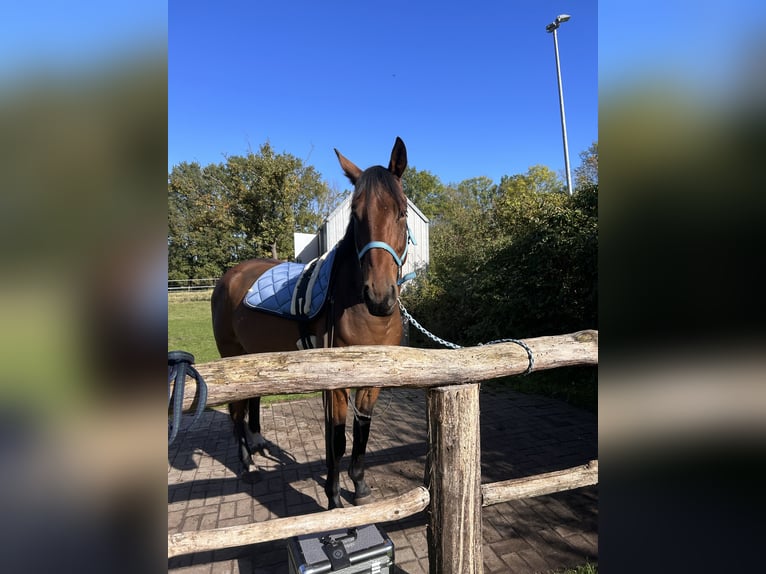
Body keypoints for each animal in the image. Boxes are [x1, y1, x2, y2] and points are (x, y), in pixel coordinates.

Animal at [210, 137, 414, 510]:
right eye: (356, 215)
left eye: (402, 212)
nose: (379, 295)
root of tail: (230, 275)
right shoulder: (335, 385)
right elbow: (336, 440)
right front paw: (333, 499)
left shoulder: (373, 382)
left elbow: (362, 433)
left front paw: (359, 486)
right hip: (231, 357)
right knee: (235, 411)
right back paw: (248, 464)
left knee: (252, 402)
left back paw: (258, 443)